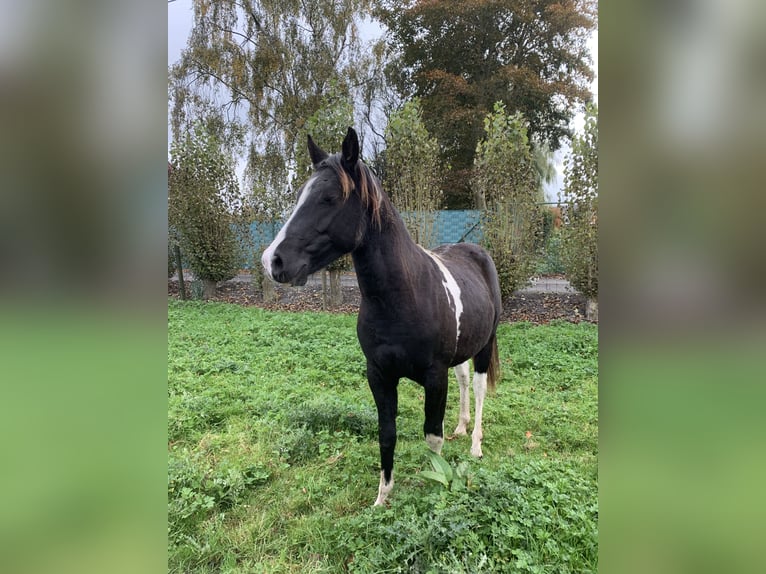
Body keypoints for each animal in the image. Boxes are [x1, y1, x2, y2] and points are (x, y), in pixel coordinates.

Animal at [264, 128, 504, 506]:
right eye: (301, 195)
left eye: (329, 197)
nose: (273, 260)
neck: (403, 298)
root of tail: (476, 251)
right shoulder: (378, 375)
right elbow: (386, 433)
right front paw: (382, 497)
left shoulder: (435, 377)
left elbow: (431, 436)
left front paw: (433, 484)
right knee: (465, 379)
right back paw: (461, 426)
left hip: (485, 344)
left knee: (479, 388)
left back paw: (475, 444)